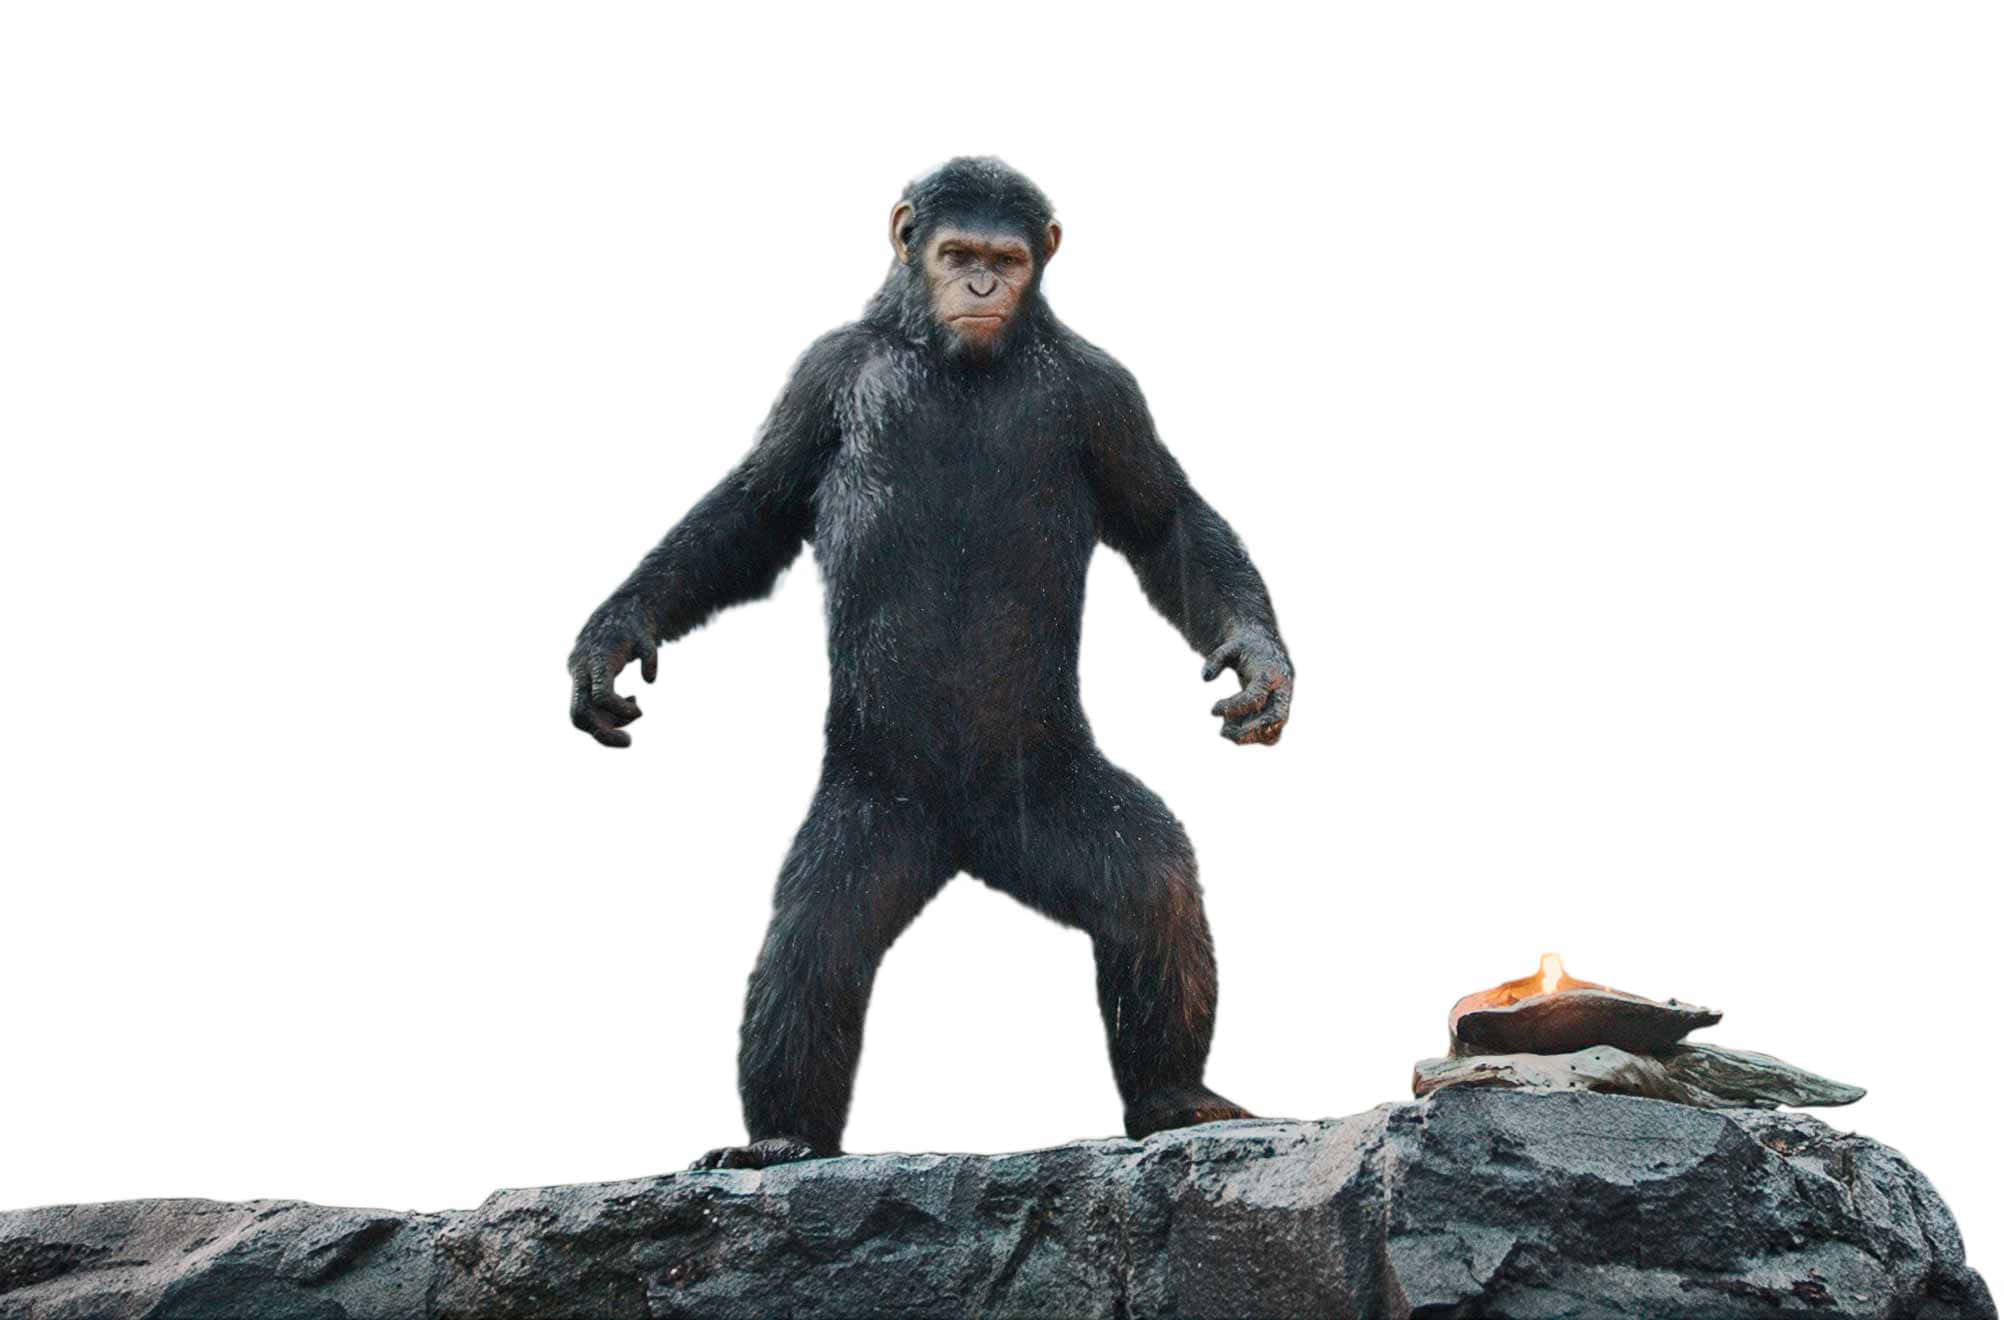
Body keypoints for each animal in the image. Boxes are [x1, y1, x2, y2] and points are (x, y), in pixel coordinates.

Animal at [568, 157, 1293, 1170]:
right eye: (956, 252)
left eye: (1007, 258)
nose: (982, 287)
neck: (955, 362)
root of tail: (965, 838)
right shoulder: (821, 374)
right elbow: (753, 511)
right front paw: (612, 638)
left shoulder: (1108, 392)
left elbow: (1165, 520)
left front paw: (1261, 665)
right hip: (873, 814)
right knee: (813, 945)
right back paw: (783, 1136)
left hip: (1049, 801)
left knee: (1151, 887)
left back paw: (1175, 1094)